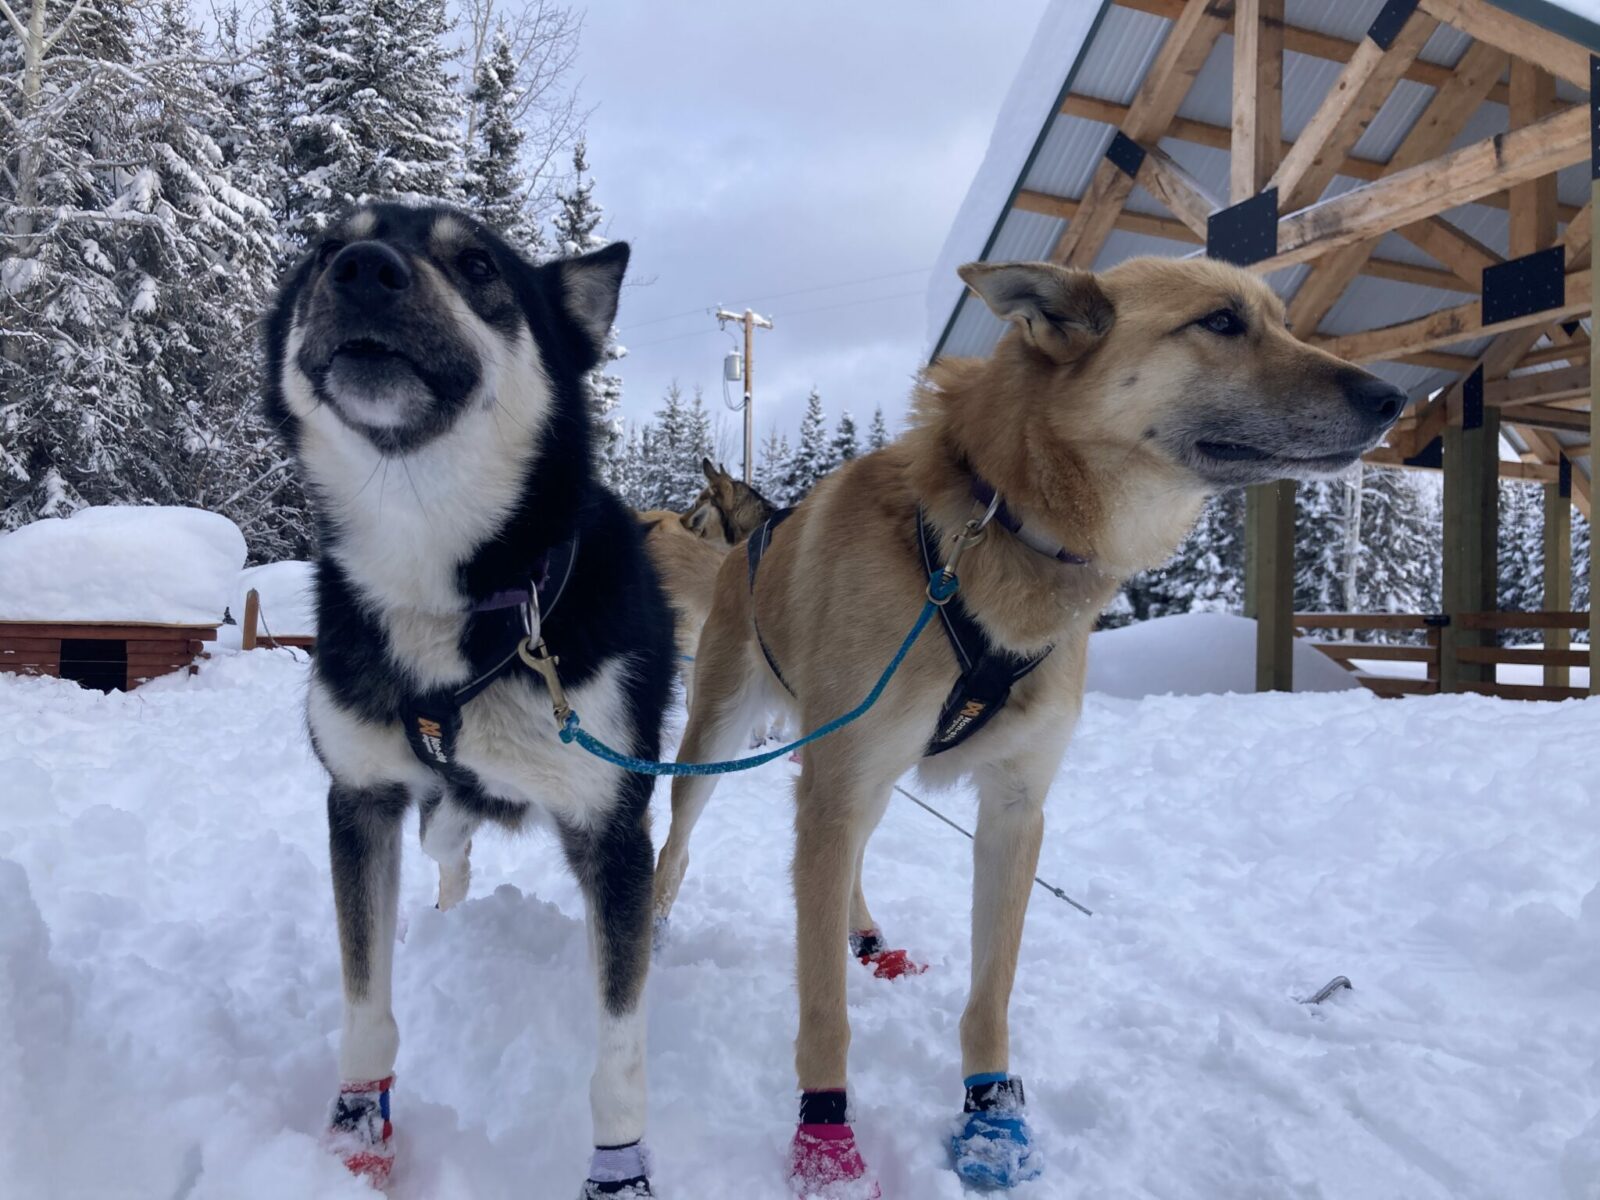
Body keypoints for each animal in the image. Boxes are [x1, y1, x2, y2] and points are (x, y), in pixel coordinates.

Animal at [265, 202, 672, 1196]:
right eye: (327, 246)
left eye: (479, 265)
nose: (364, 270)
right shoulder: (359, 798)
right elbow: (365, 1002)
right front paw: (356, 1137)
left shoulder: (613, 832)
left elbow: (618, 1052)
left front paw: (619, 1173)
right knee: (447, 837)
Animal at [646, 254, 1401, 1196]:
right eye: (1222, 322)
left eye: (1284, 322)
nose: (1392, 396)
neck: (999, 527)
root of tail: (744, 554)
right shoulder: (835, 788)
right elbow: (823, 1010)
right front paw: (825, 1142)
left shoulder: (1012, 809)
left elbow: (990, 993)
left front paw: (990, 1114)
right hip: (725, 747)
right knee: (677, 847)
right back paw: (655, 932)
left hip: (861, 783)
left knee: (849, 866)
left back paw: (869, 939)